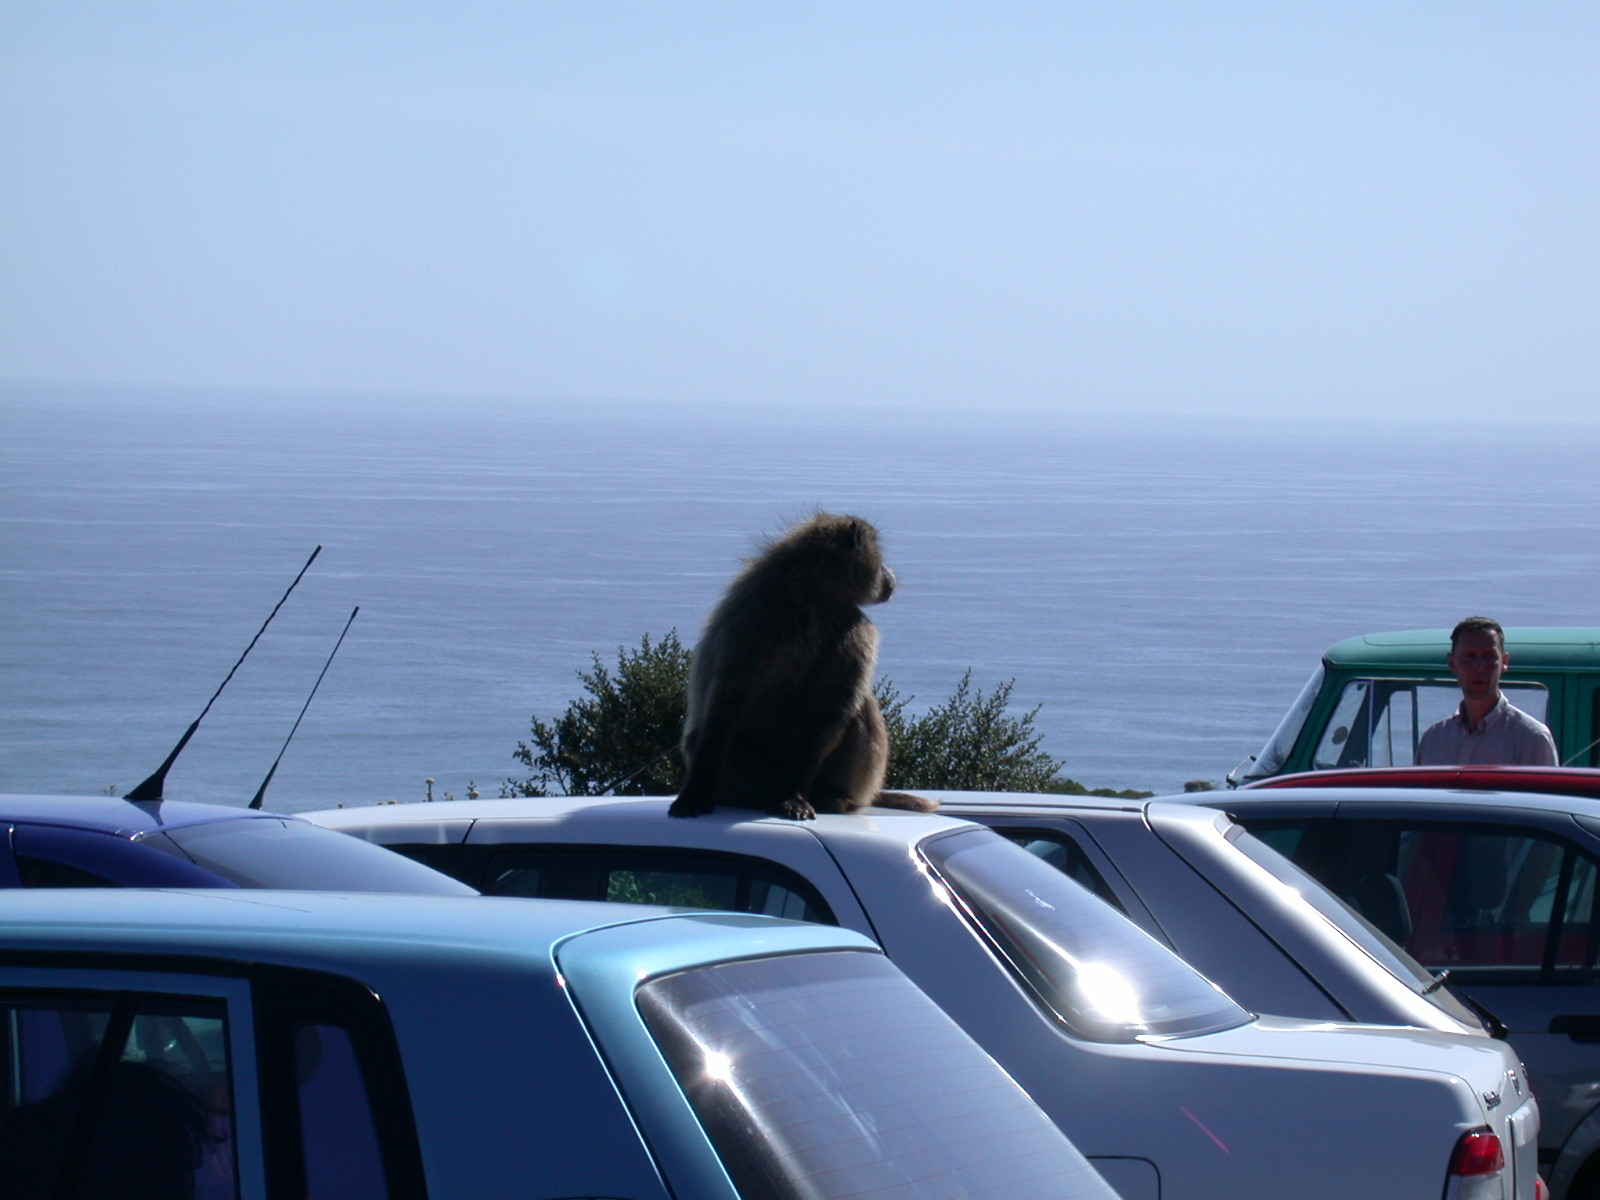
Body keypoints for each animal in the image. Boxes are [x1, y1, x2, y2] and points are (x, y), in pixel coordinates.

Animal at [669, 513, 937, 820]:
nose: (889, 573)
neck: (809, 589)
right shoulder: (758, 614)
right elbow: (729, 693)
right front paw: (695, 791)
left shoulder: (852, 629)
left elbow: (827, 708)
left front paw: (793, 796)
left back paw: (830, 797)